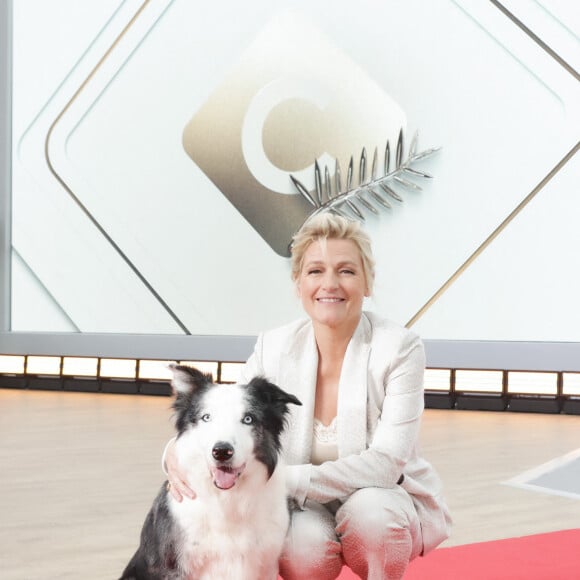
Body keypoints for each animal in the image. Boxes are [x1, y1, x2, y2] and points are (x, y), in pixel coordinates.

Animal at [120, 364, 302, 580]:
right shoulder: (173, 567)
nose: (222, 452)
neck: (227, 499)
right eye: (206, 417)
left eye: (248, 419)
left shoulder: (266, 565)